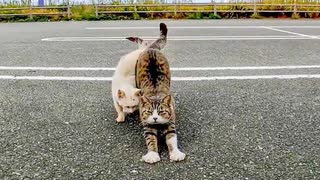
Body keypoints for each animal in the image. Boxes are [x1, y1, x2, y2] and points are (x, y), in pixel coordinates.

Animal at [136, 22, 186, 163]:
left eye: (161, 111)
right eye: (149, 112)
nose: (154, 118)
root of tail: (152, 48)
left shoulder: (170, 123)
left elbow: (172, 139)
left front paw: (175, 153)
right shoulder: (147, 126)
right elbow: (151, 140)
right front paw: (152, 155)